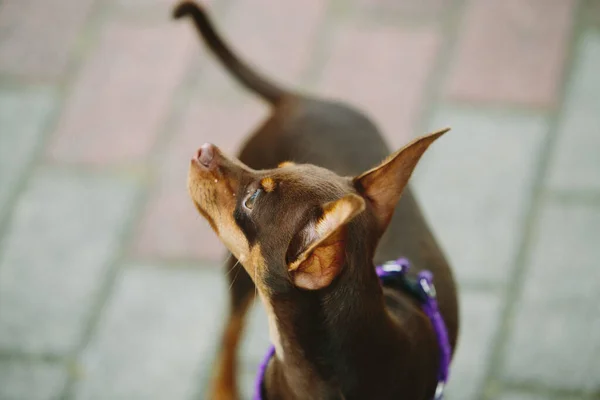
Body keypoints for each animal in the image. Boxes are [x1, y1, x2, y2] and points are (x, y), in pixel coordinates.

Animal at [173, 1, 460, 398]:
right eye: (275, 167)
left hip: (239, 273)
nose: (205, 149)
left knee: (230, 330)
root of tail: (298, 98)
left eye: (251, 201)